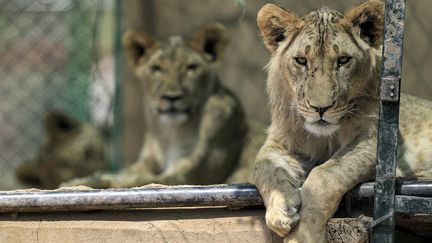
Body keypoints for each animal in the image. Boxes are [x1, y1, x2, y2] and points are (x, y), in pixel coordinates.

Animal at [60, 23, 264, 188]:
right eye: (156, 68)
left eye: (191, 67)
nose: (171, 97)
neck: (170, 133)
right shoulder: (147, 162)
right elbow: (121, 173)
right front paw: (82, 179)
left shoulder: (190, 175)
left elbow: (139, 180)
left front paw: (85, 182)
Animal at [253, 0, 432, 242]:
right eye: (301, 60)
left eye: (343, 60)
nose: (320, 108)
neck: (324, 138)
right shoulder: (281, 141)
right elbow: (261, 164)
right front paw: (280, 211)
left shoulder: (377, 141)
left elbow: (325, 175)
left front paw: (303, 235)